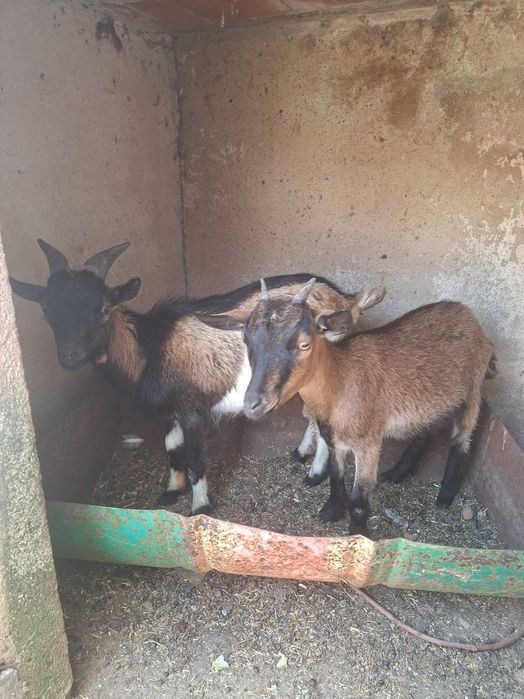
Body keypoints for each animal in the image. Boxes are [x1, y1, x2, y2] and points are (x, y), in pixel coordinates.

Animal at [9, 242, 382, 515]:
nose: (69, 355)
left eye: (102, 308)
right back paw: (301, 454)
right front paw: (171, 492)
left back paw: (314, 474)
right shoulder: (172, 411)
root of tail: (347, 300)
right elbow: (172, 449)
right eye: (47, 309)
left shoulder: (193, 411)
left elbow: (195, 460)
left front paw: (200, 507)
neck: (149, 348)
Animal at [198, 278, 496, 534]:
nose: (254, 404)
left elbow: (358, 499)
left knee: (461, 441)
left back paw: (445, 497)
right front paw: (330, 512)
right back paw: (396, 474)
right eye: (247, 341)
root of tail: (466, 313)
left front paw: (357, 536)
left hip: (473, 390)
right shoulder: (334, 438)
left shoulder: (367, 443)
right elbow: (335, 477)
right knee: (425, 433)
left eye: (304, 344)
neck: (340, 382)